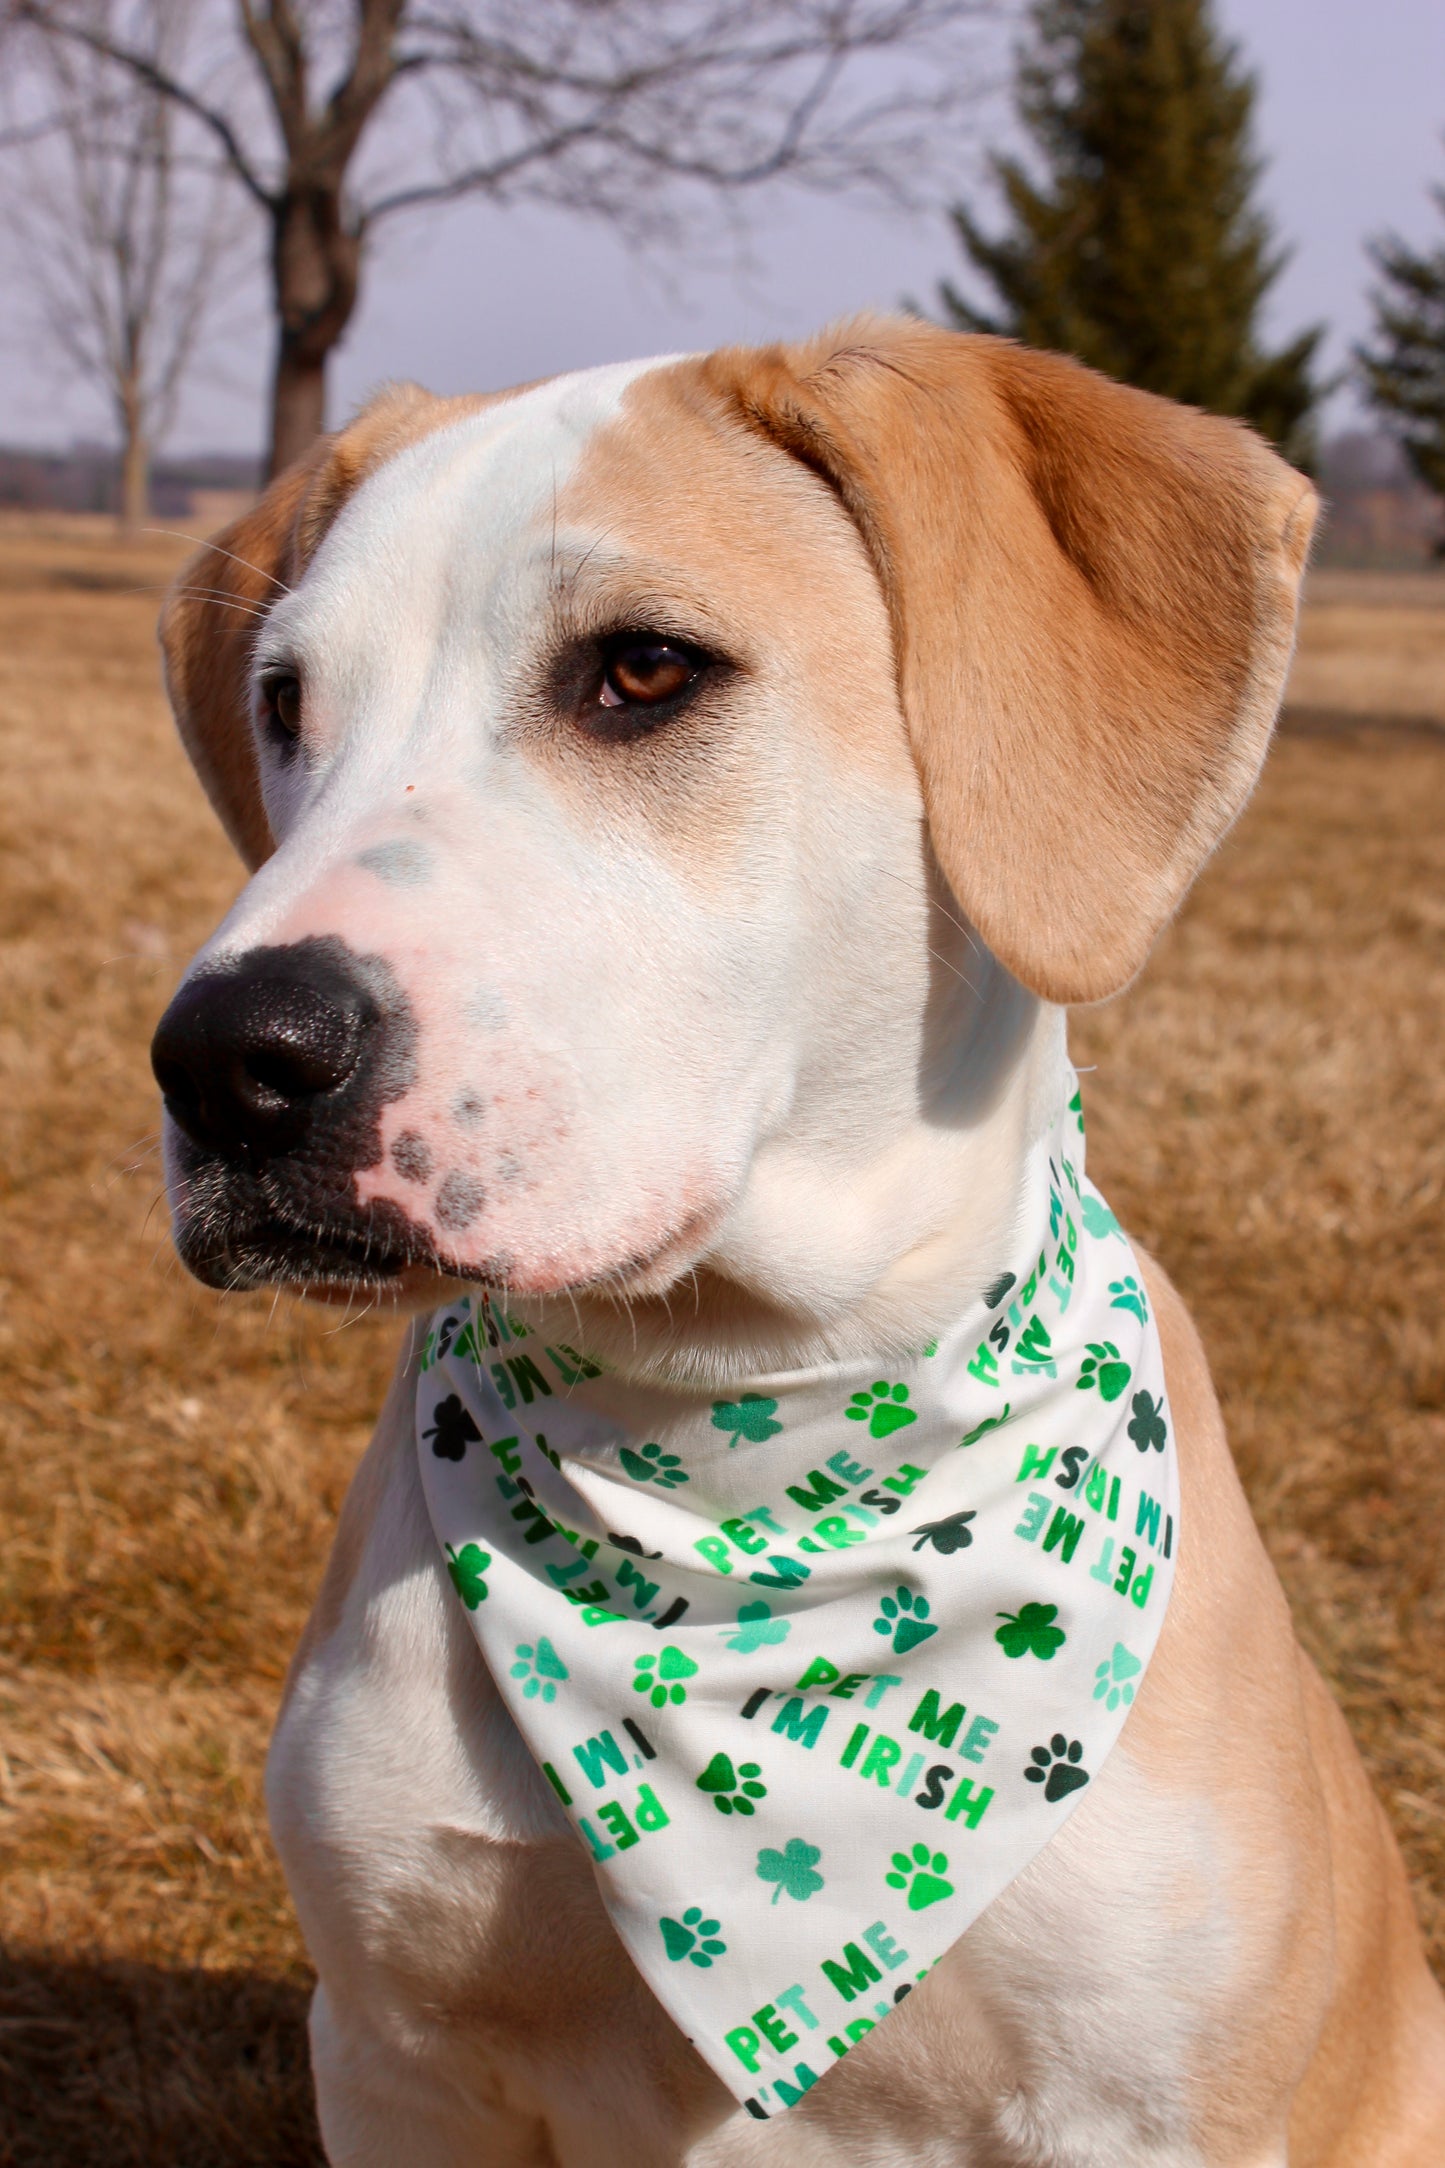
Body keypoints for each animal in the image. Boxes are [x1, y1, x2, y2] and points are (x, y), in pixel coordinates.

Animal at [149, 314, 1445, 2159]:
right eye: (284, 703)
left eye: (642, 670)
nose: (226, 1059)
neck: (743, 1441)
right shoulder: (398, 2052)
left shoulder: (1147, 2107)